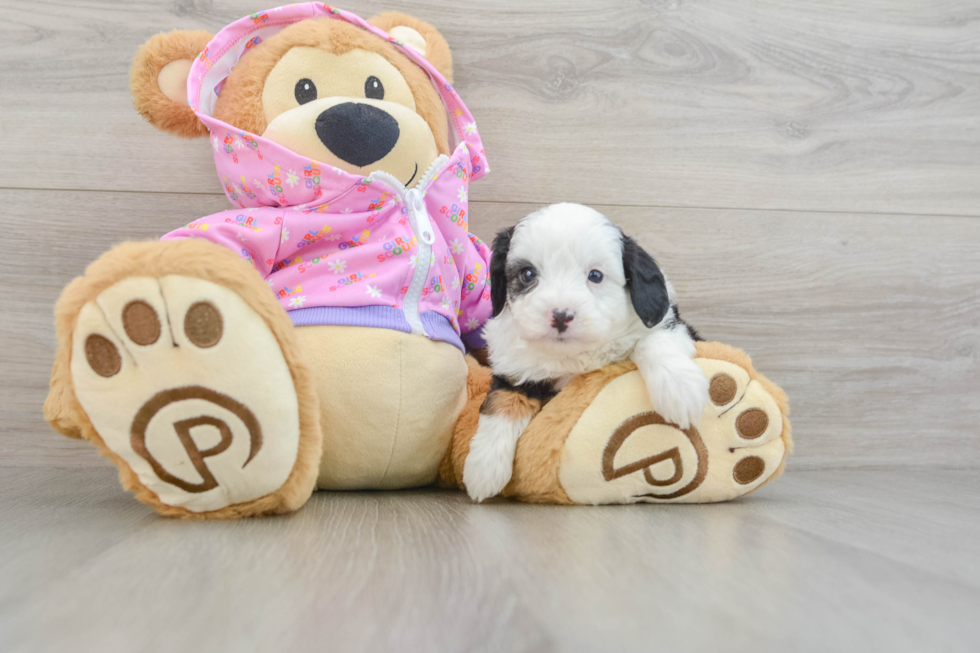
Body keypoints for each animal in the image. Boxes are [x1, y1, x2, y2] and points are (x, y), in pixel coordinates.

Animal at [464, 202, 708, 500]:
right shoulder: (514, 370)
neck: (573, 354)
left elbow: (653, 340)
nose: (560, 315)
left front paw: (680, 392)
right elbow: (502, 403)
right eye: (527, 274)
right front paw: (483, 468)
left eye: (595, 276)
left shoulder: (666, 323)